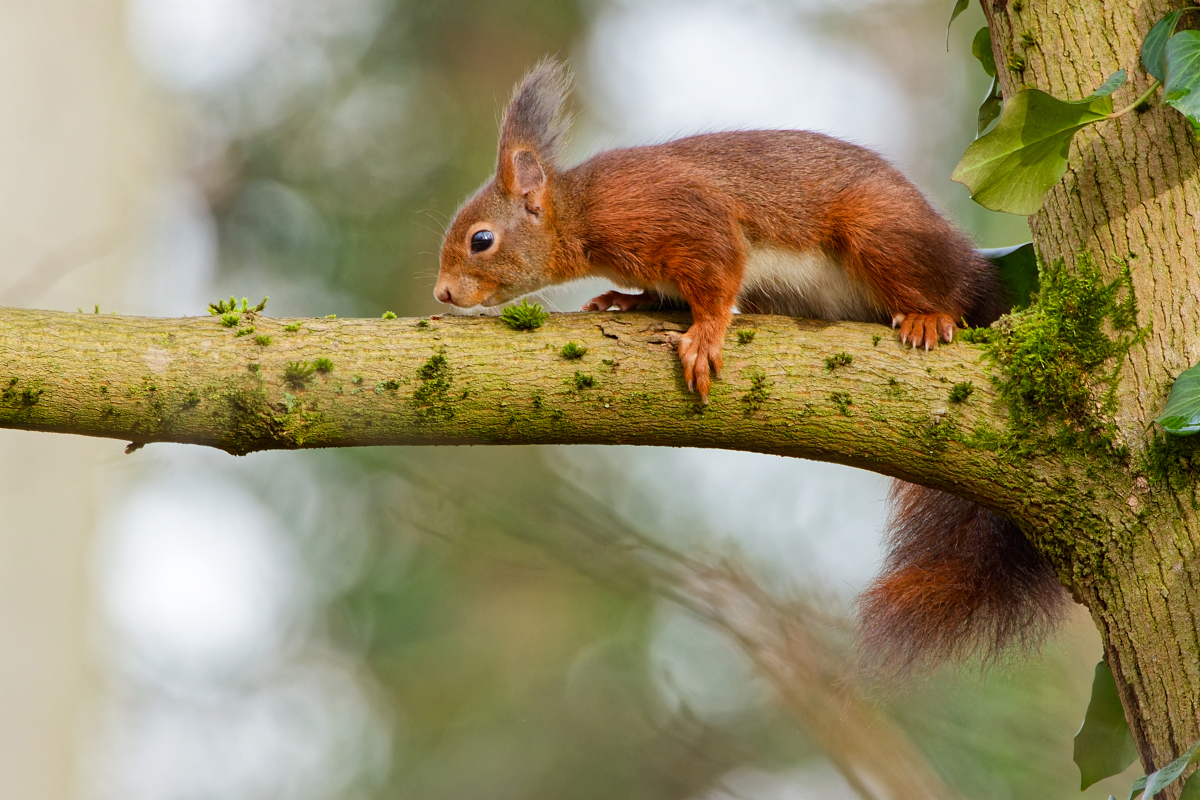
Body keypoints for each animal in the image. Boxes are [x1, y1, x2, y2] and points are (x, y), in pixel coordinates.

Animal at [434, 59, 1070, 666]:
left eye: (481, 240)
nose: (441, 293)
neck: (581, 212)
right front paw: (623, 299)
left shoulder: (674, 216)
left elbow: (719, 270)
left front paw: (706, 333)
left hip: (881, 232)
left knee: (945, 292)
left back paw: (929, 315)